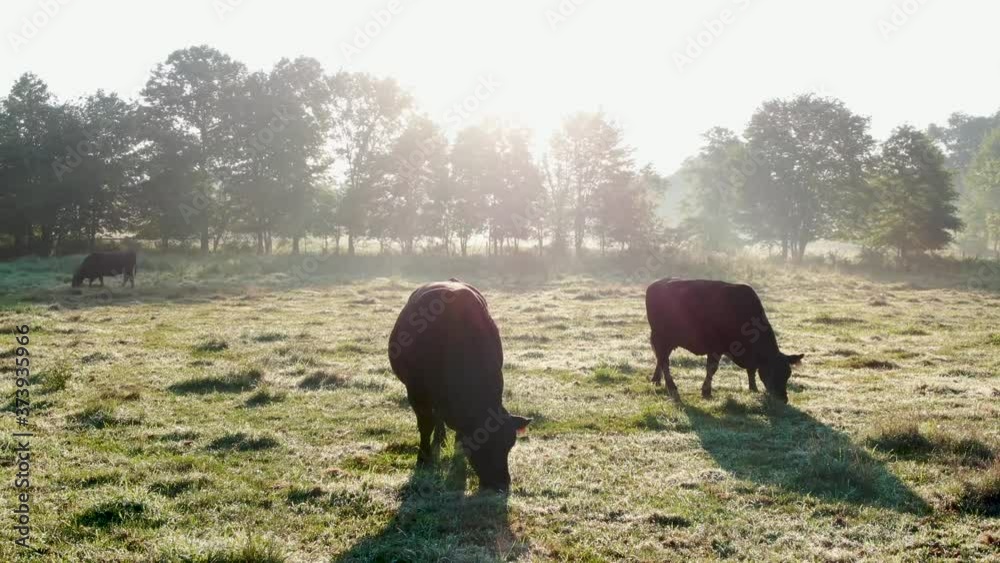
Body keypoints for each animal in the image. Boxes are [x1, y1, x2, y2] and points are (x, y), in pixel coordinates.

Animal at [390, 280, 532, 492]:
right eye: (482, 444)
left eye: (510, 444)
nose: (501, 484)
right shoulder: (416, 391)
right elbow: (425, 425)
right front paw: (423, 459)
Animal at [648, 278, 804, 404]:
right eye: (771, 372)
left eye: (788, 374)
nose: (783, 399)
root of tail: (657, 283)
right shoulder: (715, 348)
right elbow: (712, 369)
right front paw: (706, 391)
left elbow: (751, 370)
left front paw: (753, 388)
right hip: (662, 337)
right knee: (664, 361)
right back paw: (671, 387)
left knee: (660, 358)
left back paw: (656, 380)